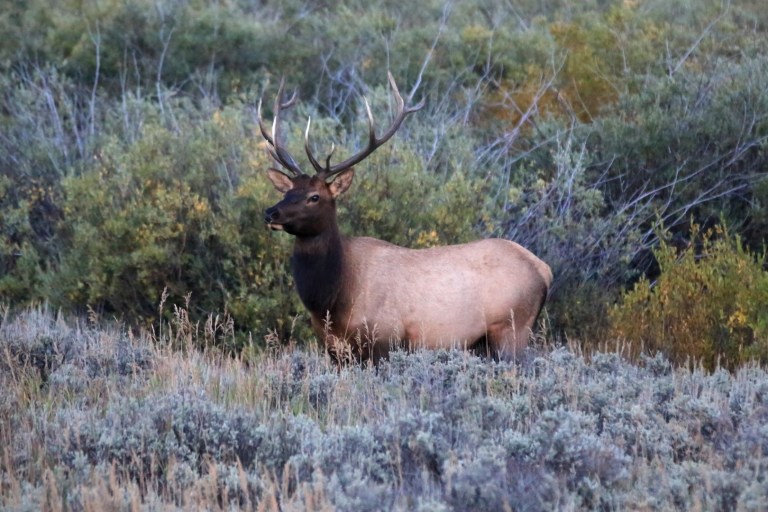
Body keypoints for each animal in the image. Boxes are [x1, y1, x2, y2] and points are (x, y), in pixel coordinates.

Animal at [261, 73, 553, 364]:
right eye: (287, 191)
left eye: (314, 197)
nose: (270, 212)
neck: (331, 301)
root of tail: (544, 269)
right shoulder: (333, 349)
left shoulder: (384, 338)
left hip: (511, 328)